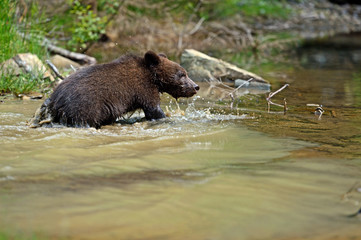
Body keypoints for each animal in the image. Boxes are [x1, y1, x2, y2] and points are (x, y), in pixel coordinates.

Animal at [31, 51, 198, 129]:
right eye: (182, 74)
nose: (196, 86)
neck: (153, 78)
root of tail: (55, 99)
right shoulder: (142, 89)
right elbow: (153, 109)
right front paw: (165, 117)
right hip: (85, 106)